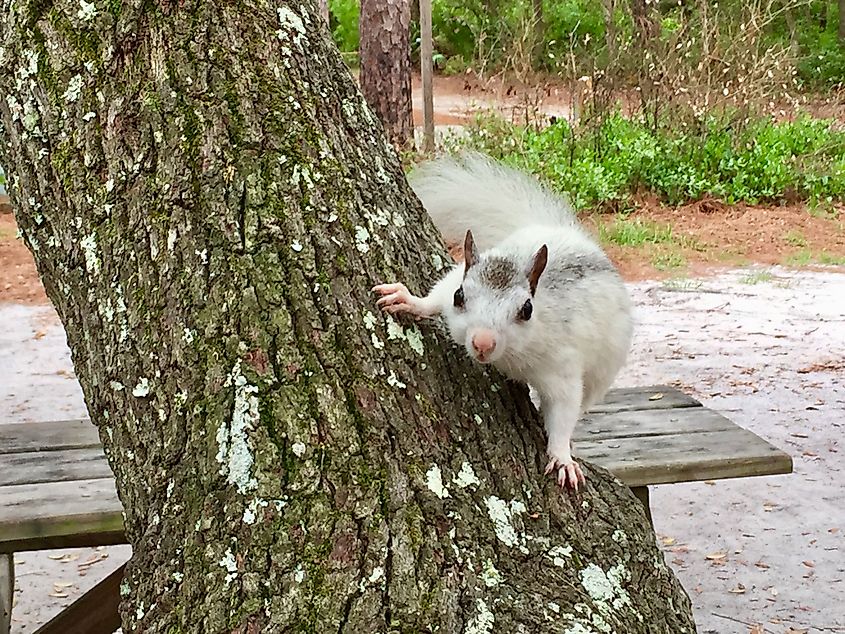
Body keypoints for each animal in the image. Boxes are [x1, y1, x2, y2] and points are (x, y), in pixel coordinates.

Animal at [372, 153, 628, 488]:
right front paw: (407, 299)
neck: (510, 357)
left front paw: (562, 456)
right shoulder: (454, 279)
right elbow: (435, 296)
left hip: (604, 370)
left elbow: (564, 410)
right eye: (459, 296)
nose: (482, 343)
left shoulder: (562, 366)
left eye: (526, 310)